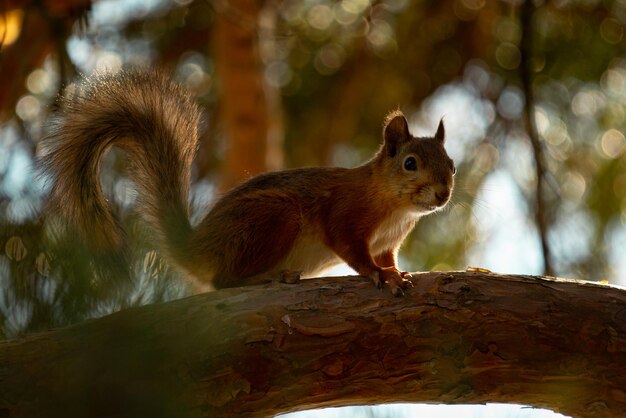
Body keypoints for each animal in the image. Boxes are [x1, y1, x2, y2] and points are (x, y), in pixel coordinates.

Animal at [42, 69, 454, 298]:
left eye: (451, 165)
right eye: (410, 163)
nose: (443, 193)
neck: (395, 209)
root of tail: (197, 247)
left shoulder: (388, 242)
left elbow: (387, 256)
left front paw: (396, 271)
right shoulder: (345, 214)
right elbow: (353, 250)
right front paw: (379, 275)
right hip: (274, 216)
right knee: (224, 281)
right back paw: (271, 277)